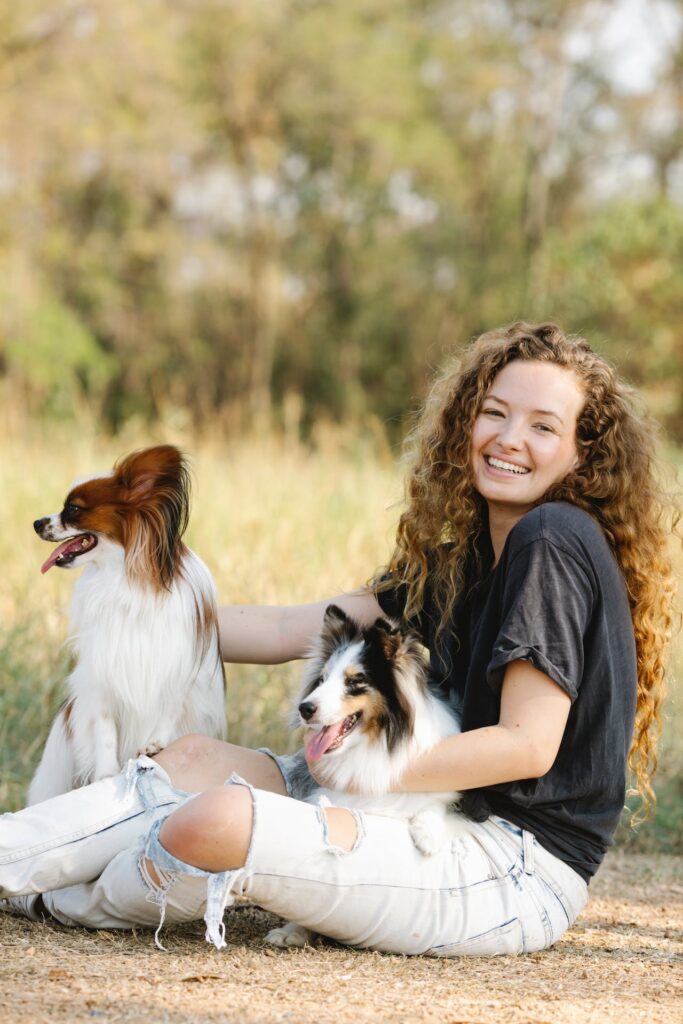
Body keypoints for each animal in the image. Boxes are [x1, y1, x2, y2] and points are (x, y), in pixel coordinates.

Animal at [29, 444, 227, 802]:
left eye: (73, 509)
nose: (36, 523)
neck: (125, 573)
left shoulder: (177, 665)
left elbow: (169, 708)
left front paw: (156, 743)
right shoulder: (102, 673)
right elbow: (106, 728)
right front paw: (106, 772)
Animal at [264, 602, 462, 946]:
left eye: (354, 681)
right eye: (322, 679)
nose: (305, 708)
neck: (373, 744)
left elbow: (434, 802)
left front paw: (427, 834)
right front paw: (293, 931)